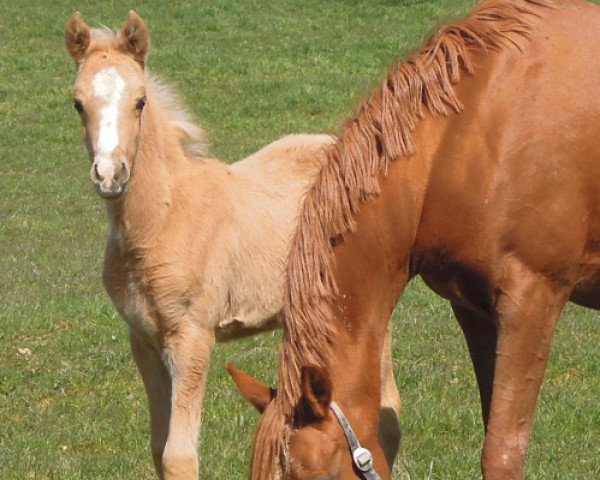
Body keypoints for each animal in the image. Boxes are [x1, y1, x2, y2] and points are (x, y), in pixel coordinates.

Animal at [65, 11, 400, 480]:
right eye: (78, 104)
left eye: (140, 101)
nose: (110, 175)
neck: (161, 222)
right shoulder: (144, 341)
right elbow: (158, 448)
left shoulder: (192, 337)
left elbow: (180, 455)